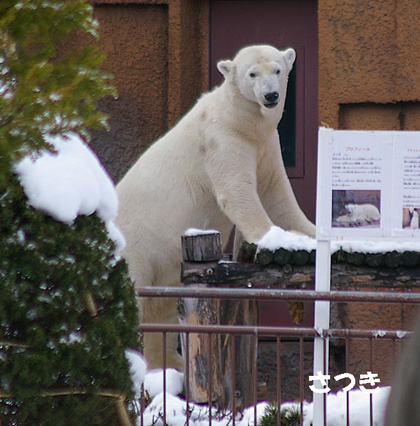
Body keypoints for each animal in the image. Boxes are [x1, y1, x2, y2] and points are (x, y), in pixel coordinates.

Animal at [116, 44, 316, 370]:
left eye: (278, 69)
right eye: (252, 74)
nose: (271, 95)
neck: (241, 118)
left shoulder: (265, 145)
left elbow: (277, 194)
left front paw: (309, 233)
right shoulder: (222, 141)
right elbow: (237, 191)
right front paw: (270, 239)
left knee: (161, 309)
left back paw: (168, 365)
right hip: (135, 246)